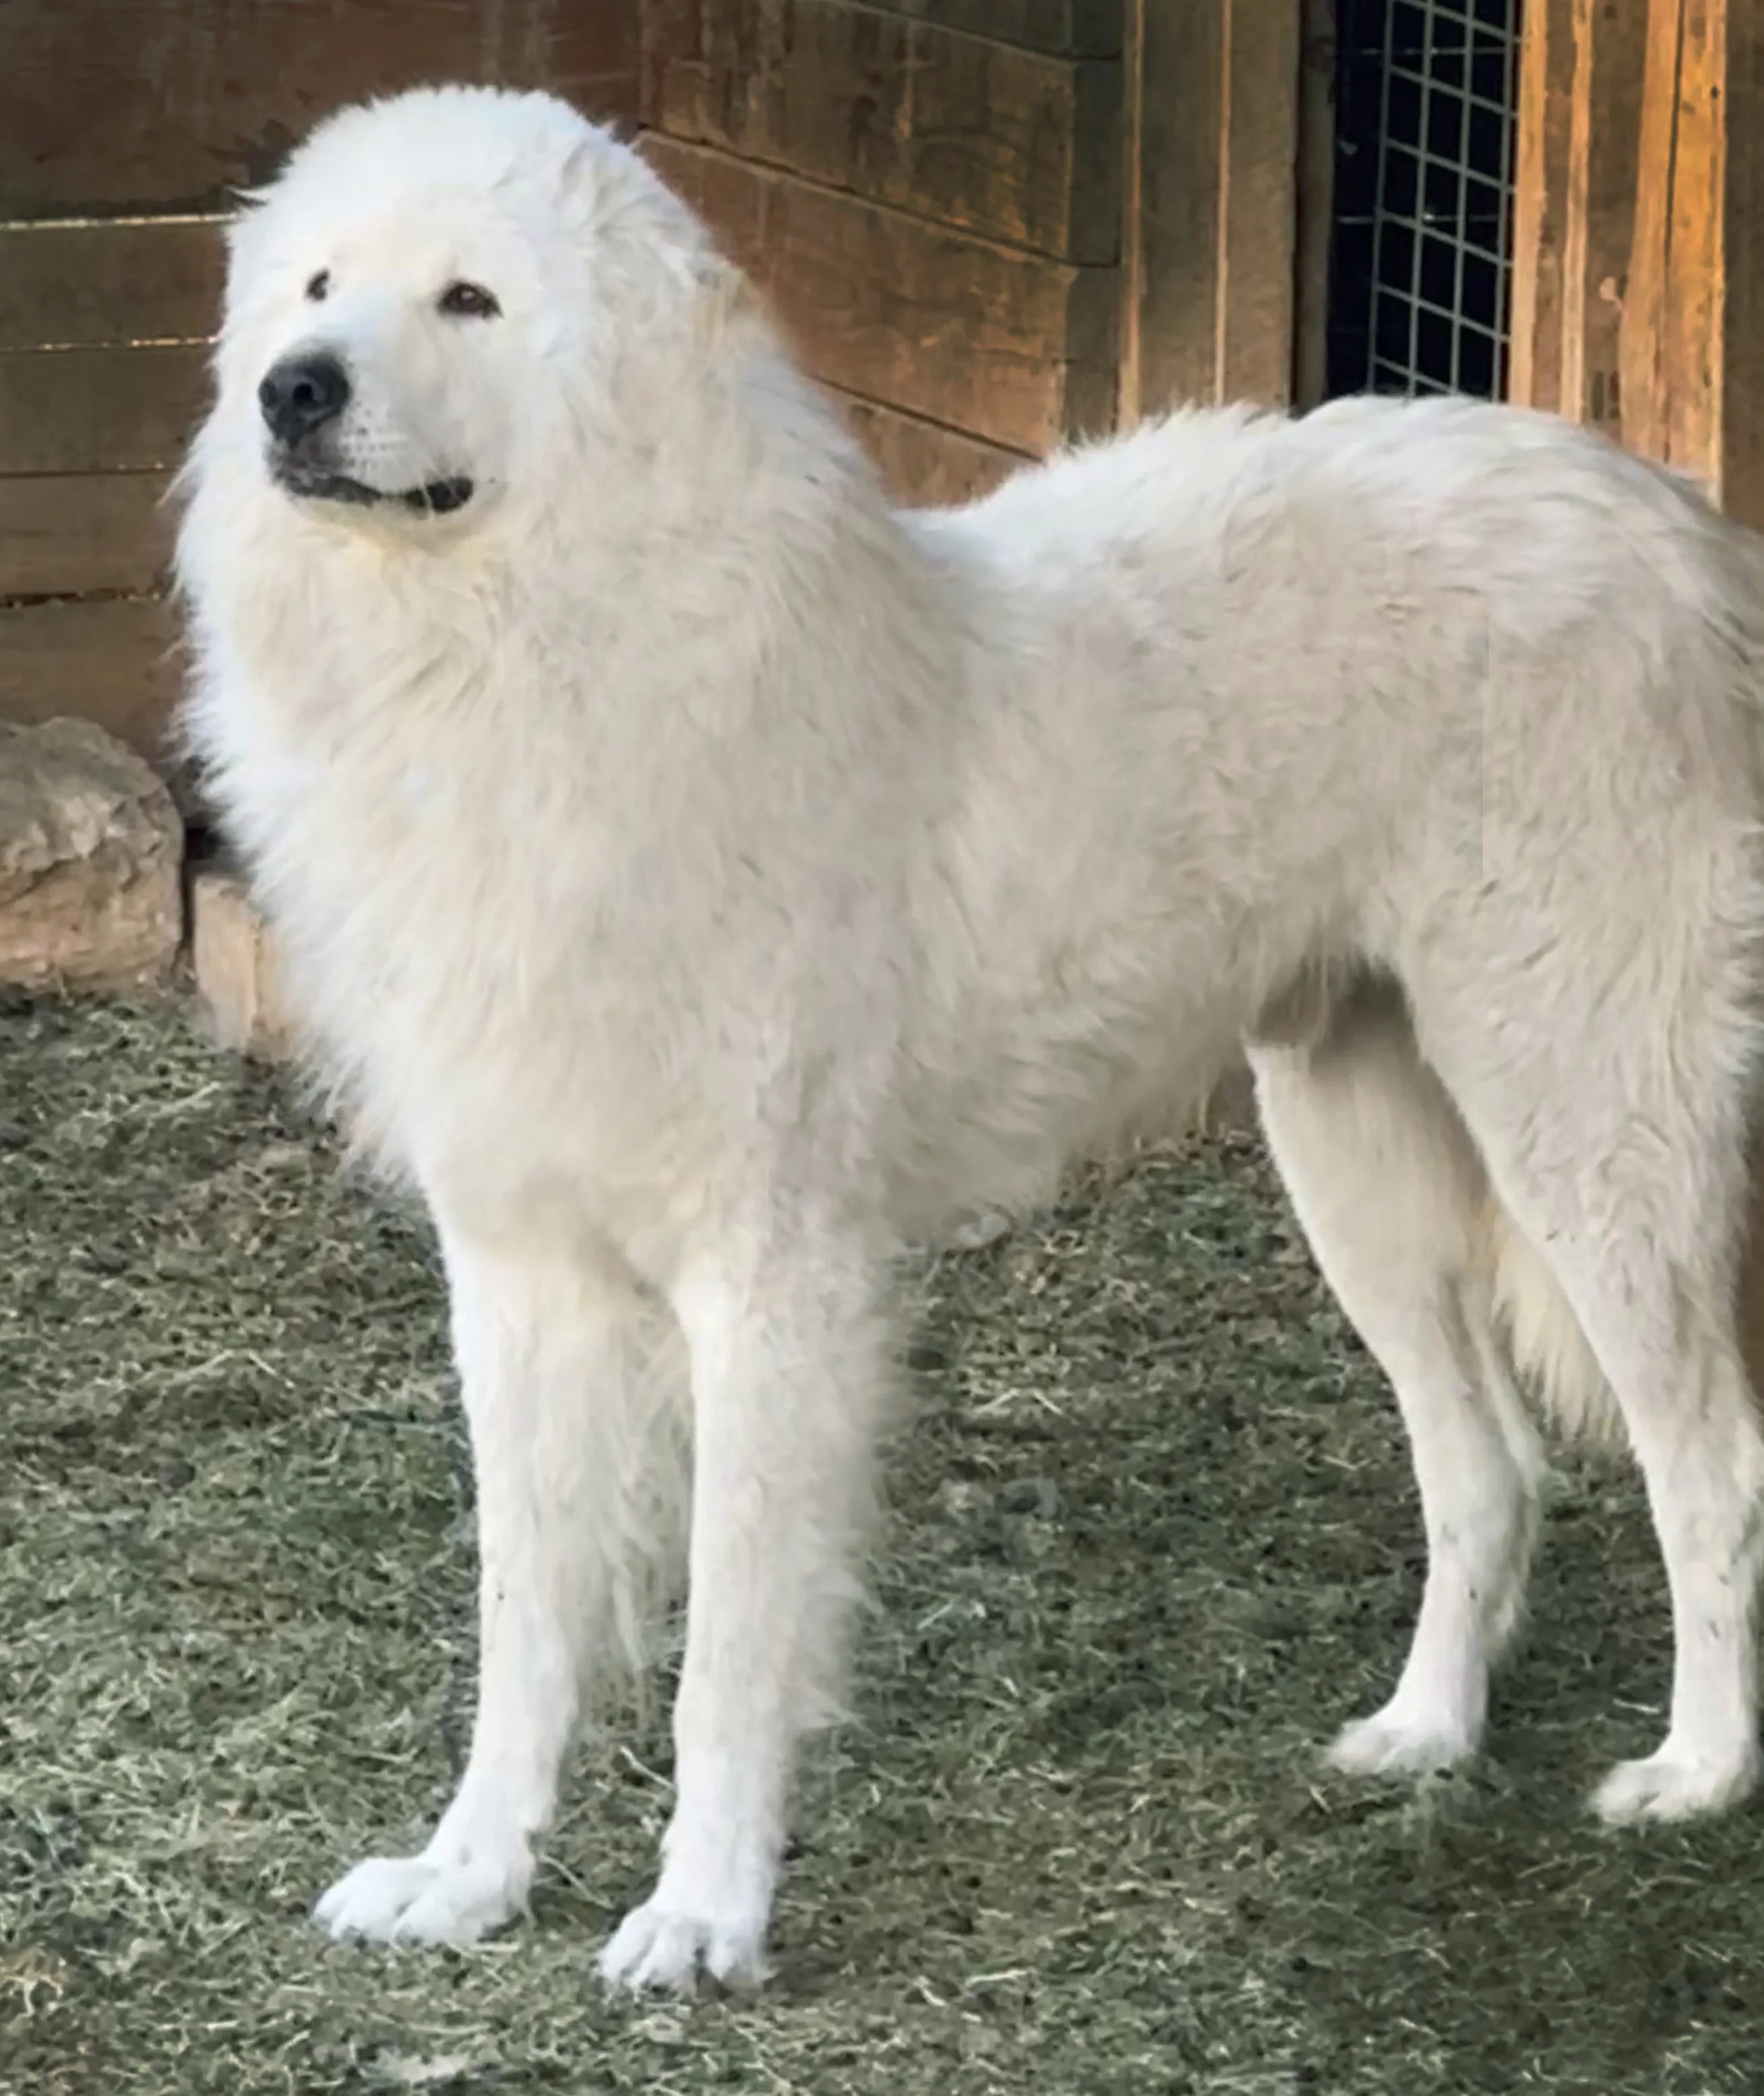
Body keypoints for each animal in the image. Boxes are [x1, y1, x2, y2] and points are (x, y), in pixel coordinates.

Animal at [175, 83, 1764, 1992]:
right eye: (317, 285)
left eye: (469, 299)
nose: (292, 390)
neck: (518, 659)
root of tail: (1667, 511)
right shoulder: (516, 1272)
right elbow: (522, 1624)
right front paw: (470, 1877)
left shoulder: (773, 1283)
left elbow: (725, 1660)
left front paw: (700, 1918)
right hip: (1352, 1153)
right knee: (1487, 1470)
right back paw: (1423, 1736)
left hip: (1582, 1122)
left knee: (1712, 1464)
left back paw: (1696, 1774)